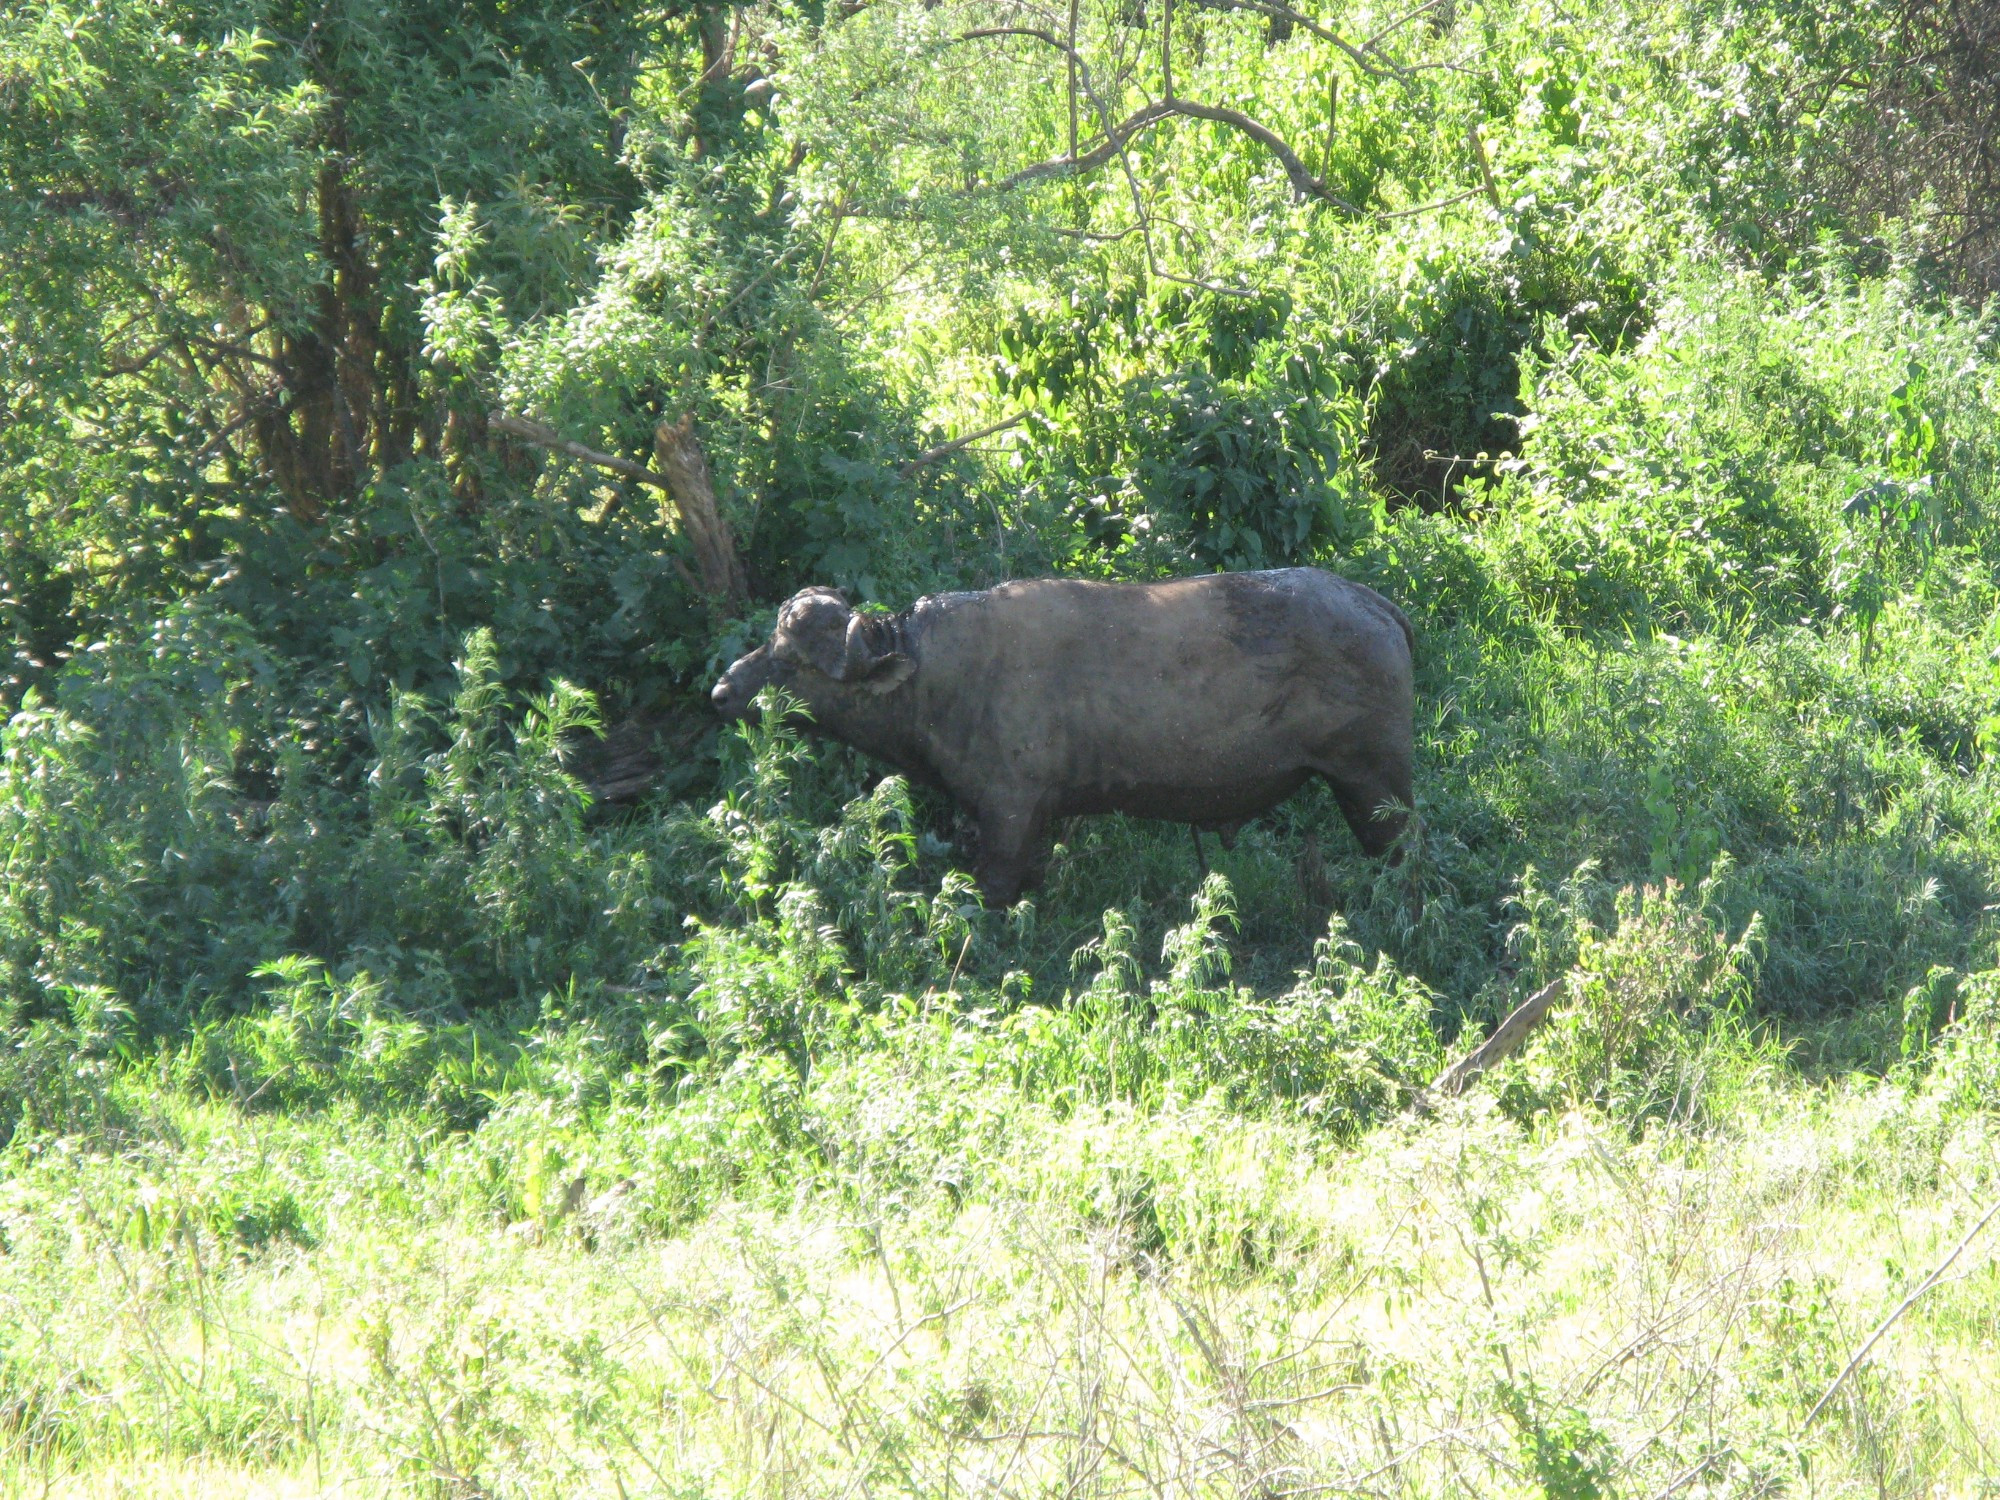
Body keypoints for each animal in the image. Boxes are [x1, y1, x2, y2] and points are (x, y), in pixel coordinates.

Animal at [712, 572, 1416, 904]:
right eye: (770, 642)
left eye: (792, 661)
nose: (722, 691)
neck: (944, 676)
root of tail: (1375, 605)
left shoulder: (1009, 818)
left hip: (1374, 790)